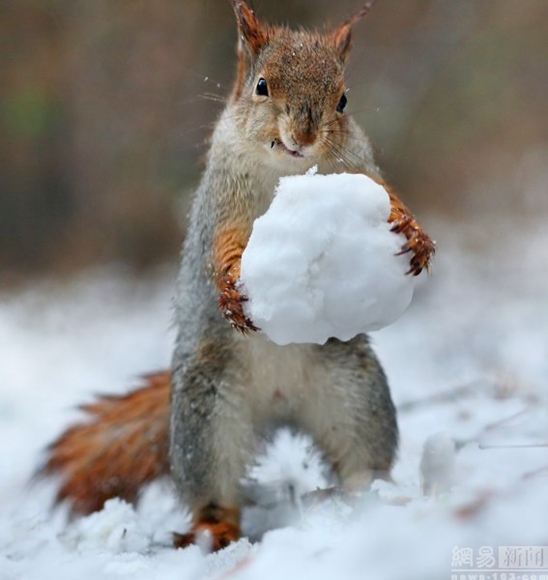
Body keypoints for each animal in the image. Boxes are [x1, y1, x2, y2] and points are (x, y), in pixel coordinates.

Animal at [41, 0, 436, 552]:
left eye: (343, 99)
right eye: (262, 86)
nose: (304, 137)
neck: (288, 172)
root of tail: (279, 401)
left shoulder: (365, 172)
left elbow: (391, 198)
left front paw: (416, 235)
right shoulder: (222, 203)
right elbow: (223, 248)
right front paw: (231, 289)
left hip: (357, 399)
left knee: (363, 458)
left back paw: (370, 499)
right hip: (205, 422)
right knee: (214, 490)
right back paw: (216, 529)